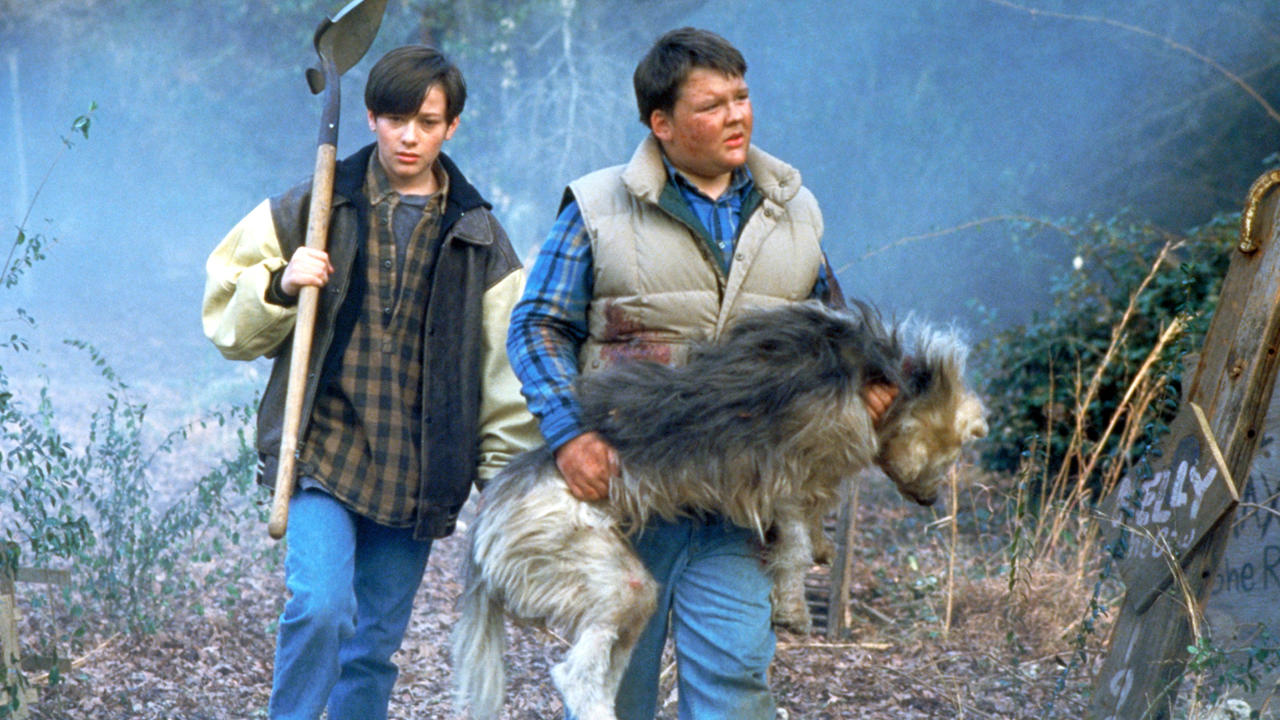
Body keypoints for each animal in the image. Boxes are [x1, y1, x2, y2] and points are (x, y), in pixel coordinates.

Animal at [453, 299, 988, 712]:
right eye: (952, 457)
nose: (931, 500)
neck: (878, 376)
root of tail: (487, 522)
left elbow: (813, 518)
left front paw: (820, 546)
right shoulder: (785, 477)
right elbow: (794, 547)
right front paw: (794, 606)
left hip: (626, 594)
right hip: (596, 571)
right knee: (575, 676)